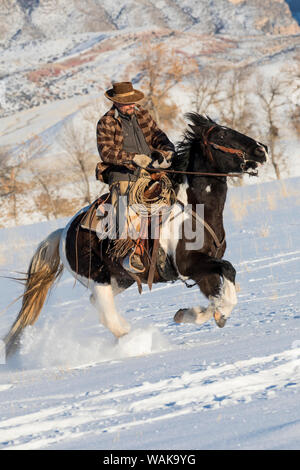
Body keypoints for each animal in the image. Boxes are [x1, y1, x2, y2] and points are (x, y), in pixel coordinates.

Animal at [2, 114, 268, 356]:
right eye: (222, 135)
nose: (261, 149)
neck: (195, 210)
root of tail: (64, 232)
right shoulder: (190, 264)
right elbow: (229, 270)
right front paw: (220, 311)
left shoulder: (202, 270)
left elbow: (215, 295)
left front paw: (190, 314)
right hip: (99, 279)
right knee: (106, 314)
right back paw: (134, 340)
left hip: (120, 279)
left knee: (98, 305)